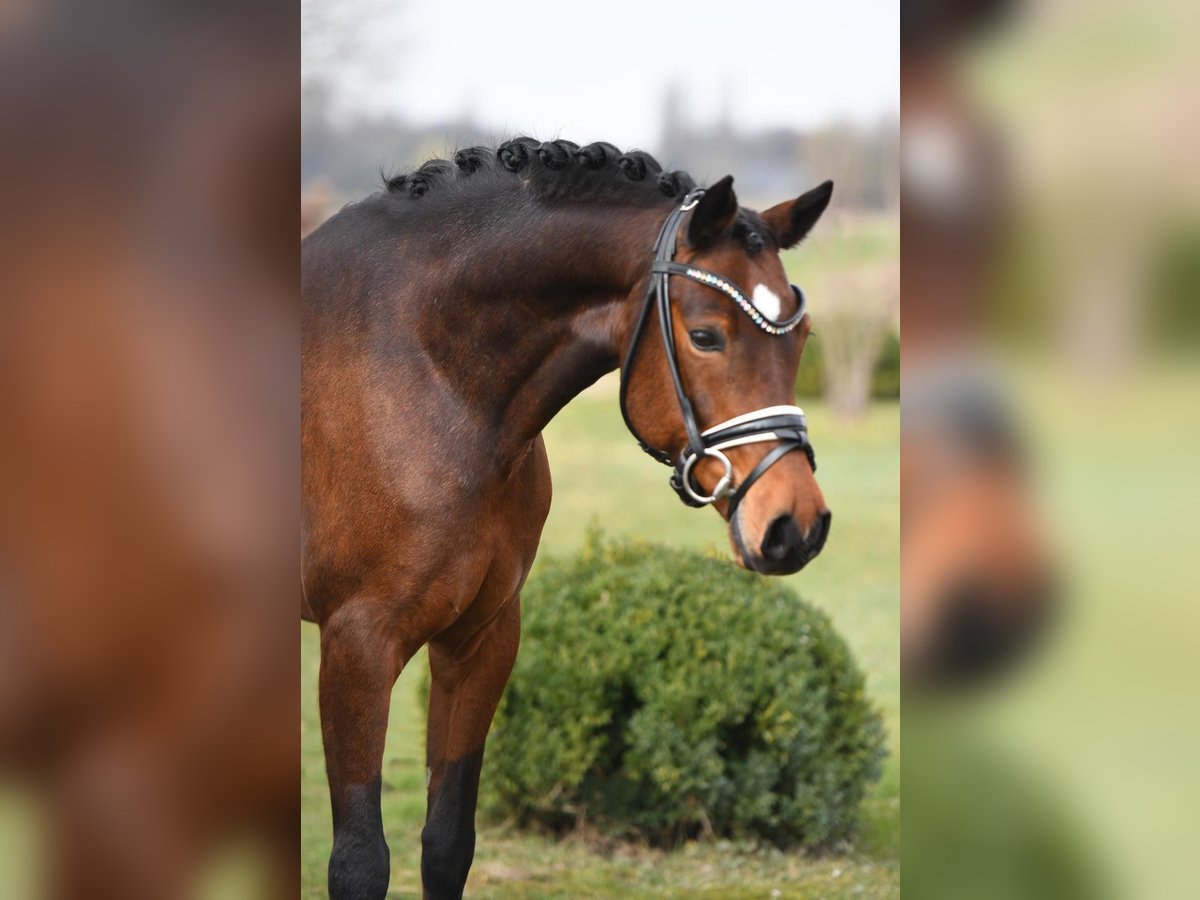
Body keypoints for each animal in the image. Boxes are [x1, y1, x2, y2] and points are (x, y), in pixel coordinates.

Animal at [302, 137, 835, 897]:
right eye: (706, 335)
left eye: (803, 336)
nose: (795, 525)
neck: (433, 375)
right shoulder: (357, 645)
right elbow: (358, 861)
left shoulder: (482, 637)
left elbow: (446, 841)